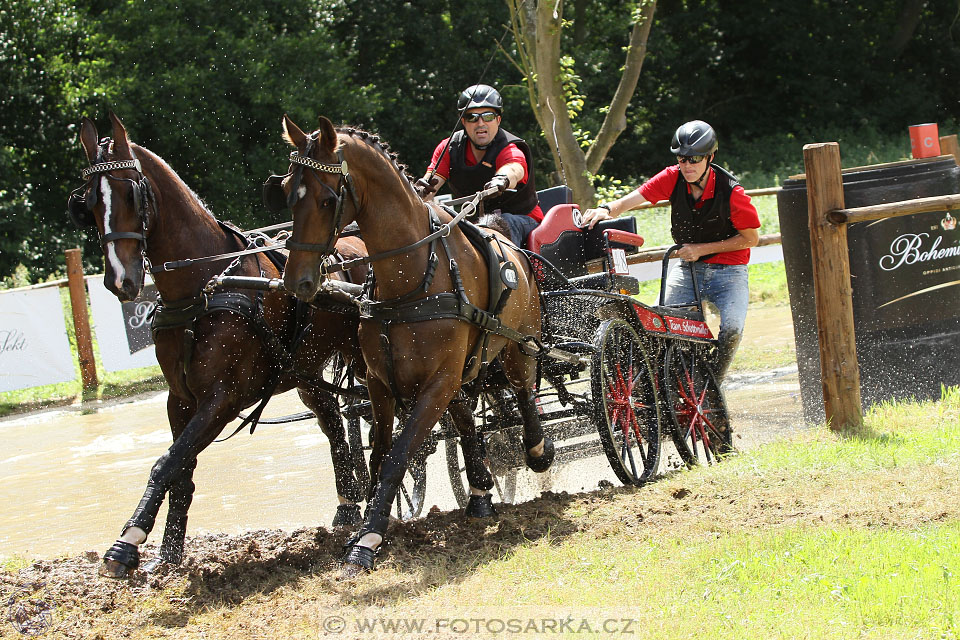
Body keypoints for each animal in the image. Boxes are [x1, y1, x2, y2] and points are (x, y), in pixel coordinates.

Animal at [69, 115, 370, 580]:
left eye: (130, 194)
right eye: (86, 203)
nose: (120, 280)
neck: (204, 289)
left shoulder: (222, 399)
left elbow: (166, 462)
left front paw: (127, 543)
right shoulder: (181, 398)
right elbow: (181, 467)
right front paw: (168, 553)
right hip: (306, 371)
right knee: (335, 424)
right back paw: (347, 507)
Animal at [276, 116, 556, 576]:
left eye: (328, 198)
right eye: (285, 190)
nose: (296, 281)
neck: (411, 278)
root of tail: (510, 245)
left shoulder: (435, 384)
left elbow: (399, 456)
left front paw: (367, 540)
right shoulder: (380, 382)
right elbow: (379, 454)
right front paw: (373, 522)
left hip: (520, 345)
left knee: (523, 393)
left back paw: (537, 450)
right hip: (462, 371)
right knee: (468, 420)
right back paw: (480, 494)